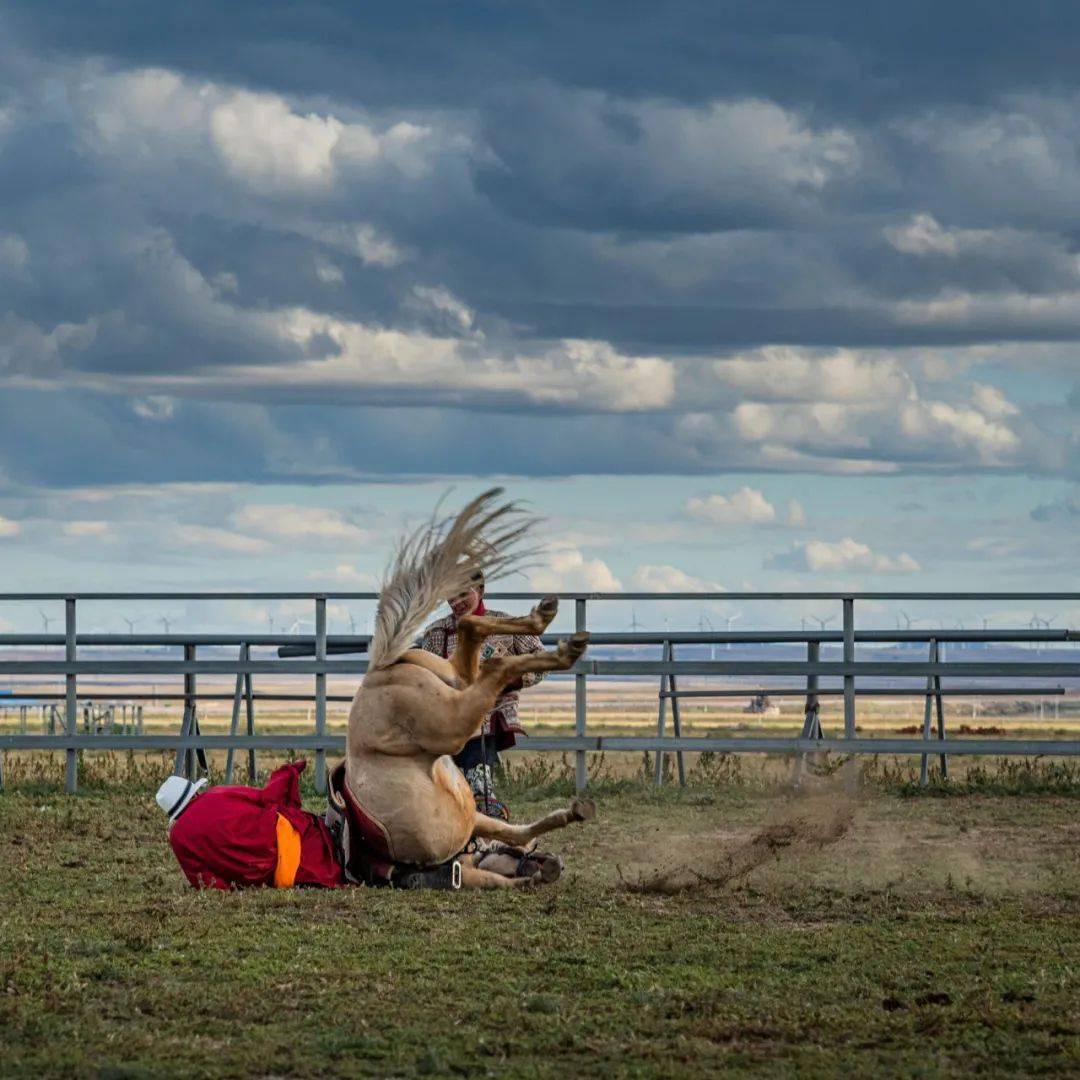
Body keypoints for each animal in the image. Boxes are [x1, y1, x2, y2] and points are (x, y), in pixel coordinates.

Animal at [345, 492, 596, 885]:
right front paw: (571, 816)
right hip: (456, 703)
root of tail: (378, 669)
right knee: (478, 640)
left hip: (452, 711)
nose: (552, 864)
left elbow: (515, 835)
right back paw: (554, 629)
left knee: (477, 637)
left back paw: (552, 629)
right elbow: (516, 837)